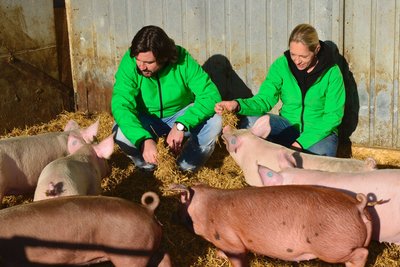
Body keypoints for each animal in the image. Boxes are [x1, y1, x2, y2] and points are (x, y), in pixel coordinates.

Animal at [170, 184, 374, 267]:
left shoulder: (229, 241)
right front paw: (219, 255)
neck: (206, 211)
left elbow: (237, 256)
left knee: (362, 254)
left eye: (179, 203)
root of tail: (358, 206)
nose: (172, 217)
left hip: (331, 247)